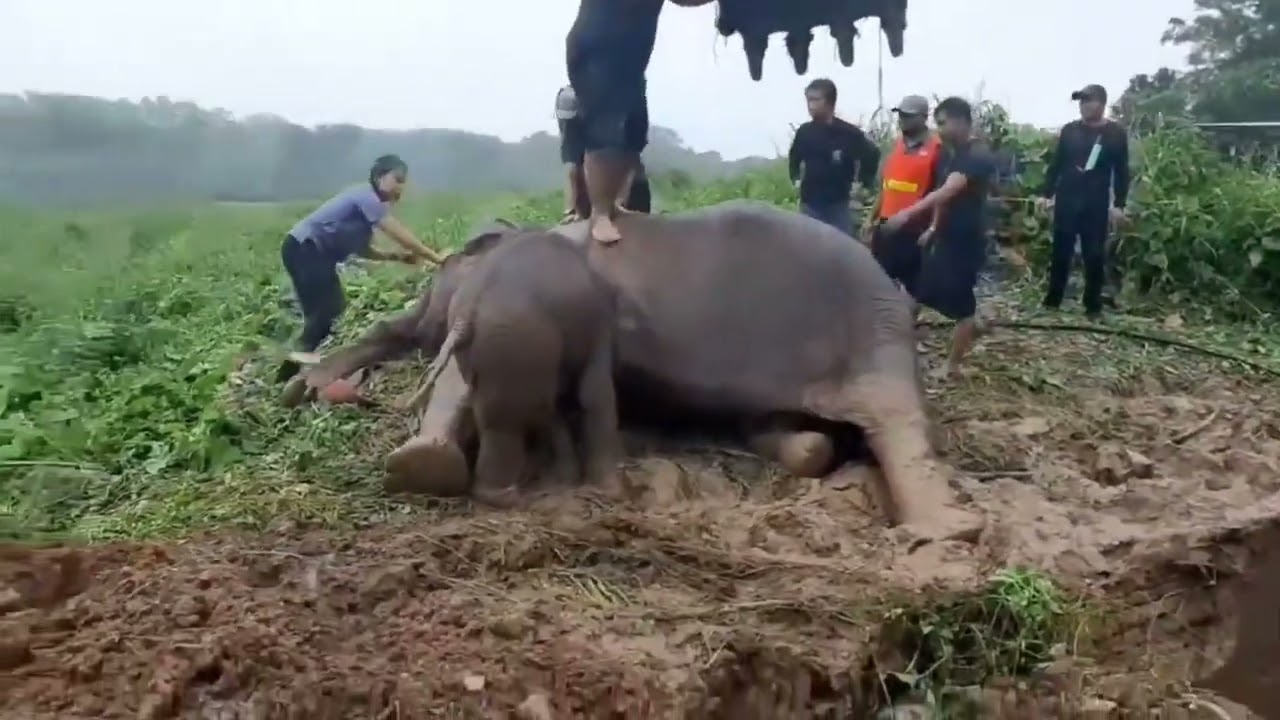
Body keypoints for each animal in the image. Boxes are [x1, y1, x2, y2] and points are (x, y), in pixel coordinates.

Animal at [407, 229, 622, 504]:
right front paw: (609, 492)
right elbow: (594, 393)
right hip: (515, 341)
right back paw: (513, 495)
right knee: (521, 415)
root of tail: (465, 316)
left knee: (498, 415)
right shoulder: (598, 326)